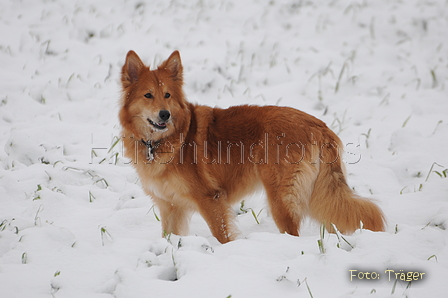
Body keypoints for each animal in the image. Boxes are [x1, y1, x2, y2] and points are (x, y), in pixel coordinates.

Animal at [120, 50, 384, 243]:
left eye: (167, 95)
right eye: (148, 95)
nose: (164, 115)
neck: (161, 141)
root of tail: (318, 124)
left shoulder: (210, 198)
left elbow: (222, 234)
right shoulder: (169, 206)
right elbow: (169, 237)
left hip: (280, 198)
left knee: (293, 234)